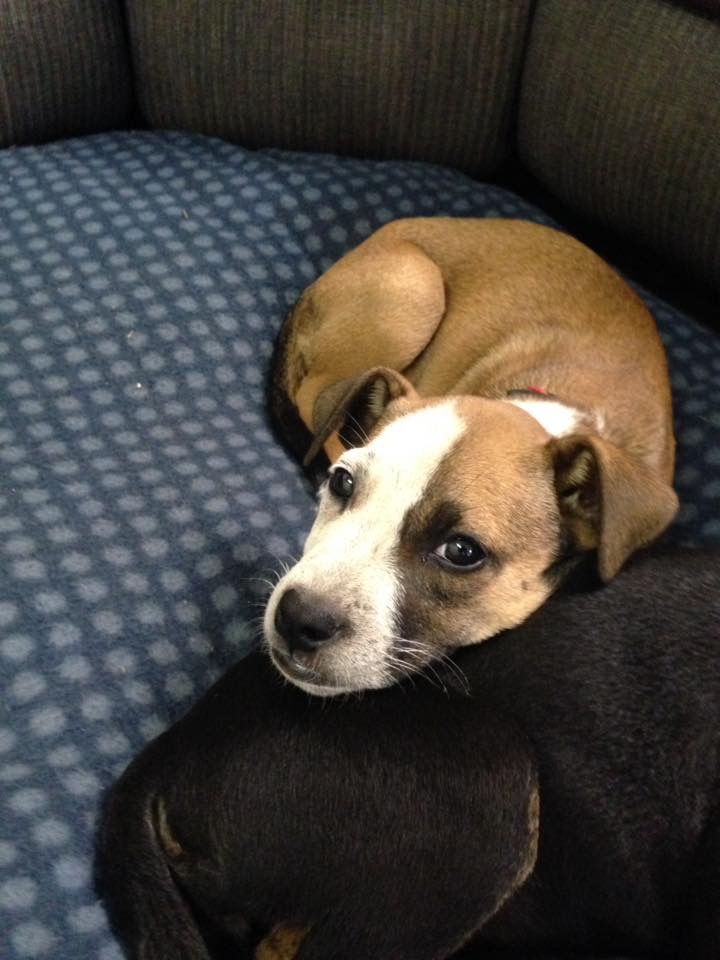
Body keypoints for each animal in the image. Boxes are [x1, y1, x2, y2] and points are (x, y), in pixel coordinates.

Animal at [265, 218, 678, 694]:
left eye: (462, 551)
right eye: (343, 482)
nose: (298, 618)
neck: (554, 410)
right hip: (416, 288)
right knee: (314, 392)